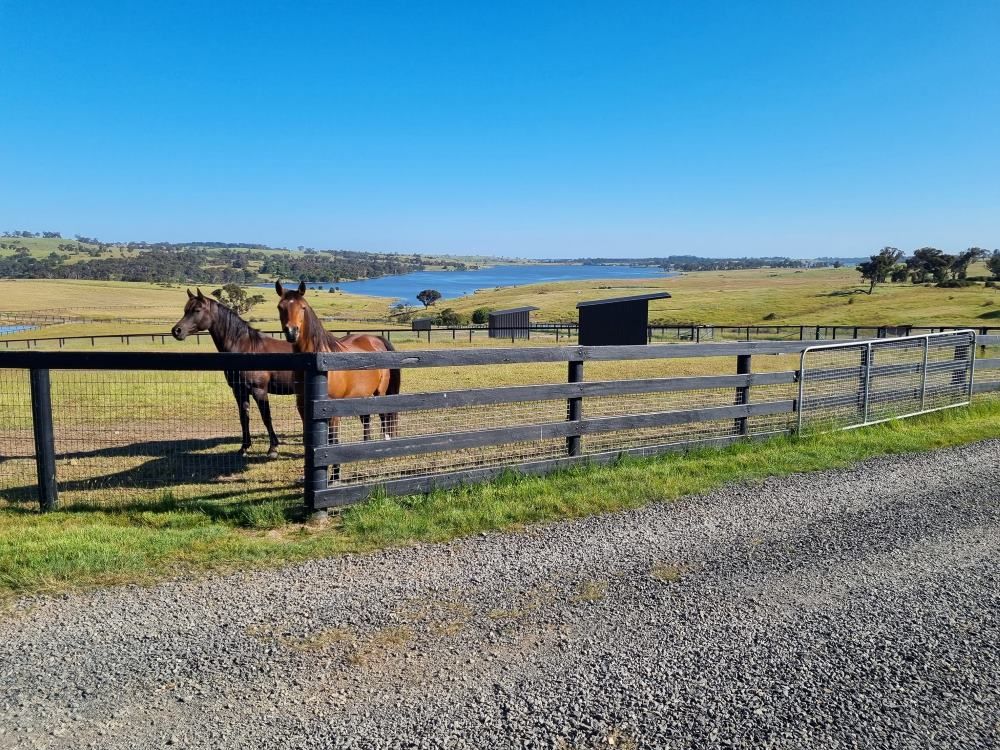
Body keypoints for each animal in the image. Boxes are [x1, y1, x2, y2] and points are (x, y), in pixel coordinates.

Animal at [172, 289, 295, 458]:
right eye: (185, 310)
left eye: (197, 310)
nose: (176, 331)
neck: (246, 348)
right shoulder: (239, 390)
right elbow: (244, 417)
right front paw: (244, 448)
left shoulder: (259, 391)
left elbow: (266, 417)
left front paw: (273, 449)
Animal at [275, 280, 401, 445]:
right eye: (280, 307)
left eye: (302, 307)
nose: (291, 332)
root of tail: (376, 339)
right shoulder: (302, 406)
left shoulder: (332, 409)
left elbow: (333, 439)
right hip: (363, 394)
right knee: (366, 419)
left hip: (380, 392)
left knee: (383, 417)